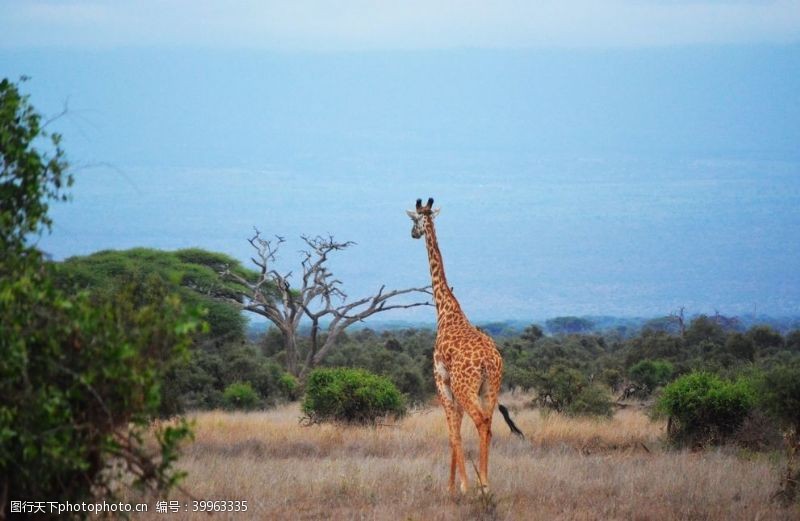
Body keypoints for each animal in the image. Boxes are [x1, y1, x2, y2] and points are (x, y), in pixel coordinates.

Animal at [406, 197, 524, 494]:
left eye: (414, 219)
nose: (412, 234)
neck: (446, 311)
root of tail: (488, 362)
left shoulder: (442, 381)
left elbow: (453, 433)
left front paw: (458, 486)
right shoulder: (453, 386)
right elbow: (456, 430)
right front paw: (453, 484)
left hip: (466, 387)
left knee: (480, 421)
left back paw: (481, 484)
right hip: (490, 388)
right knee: (489, 424)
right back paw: (486, 481)